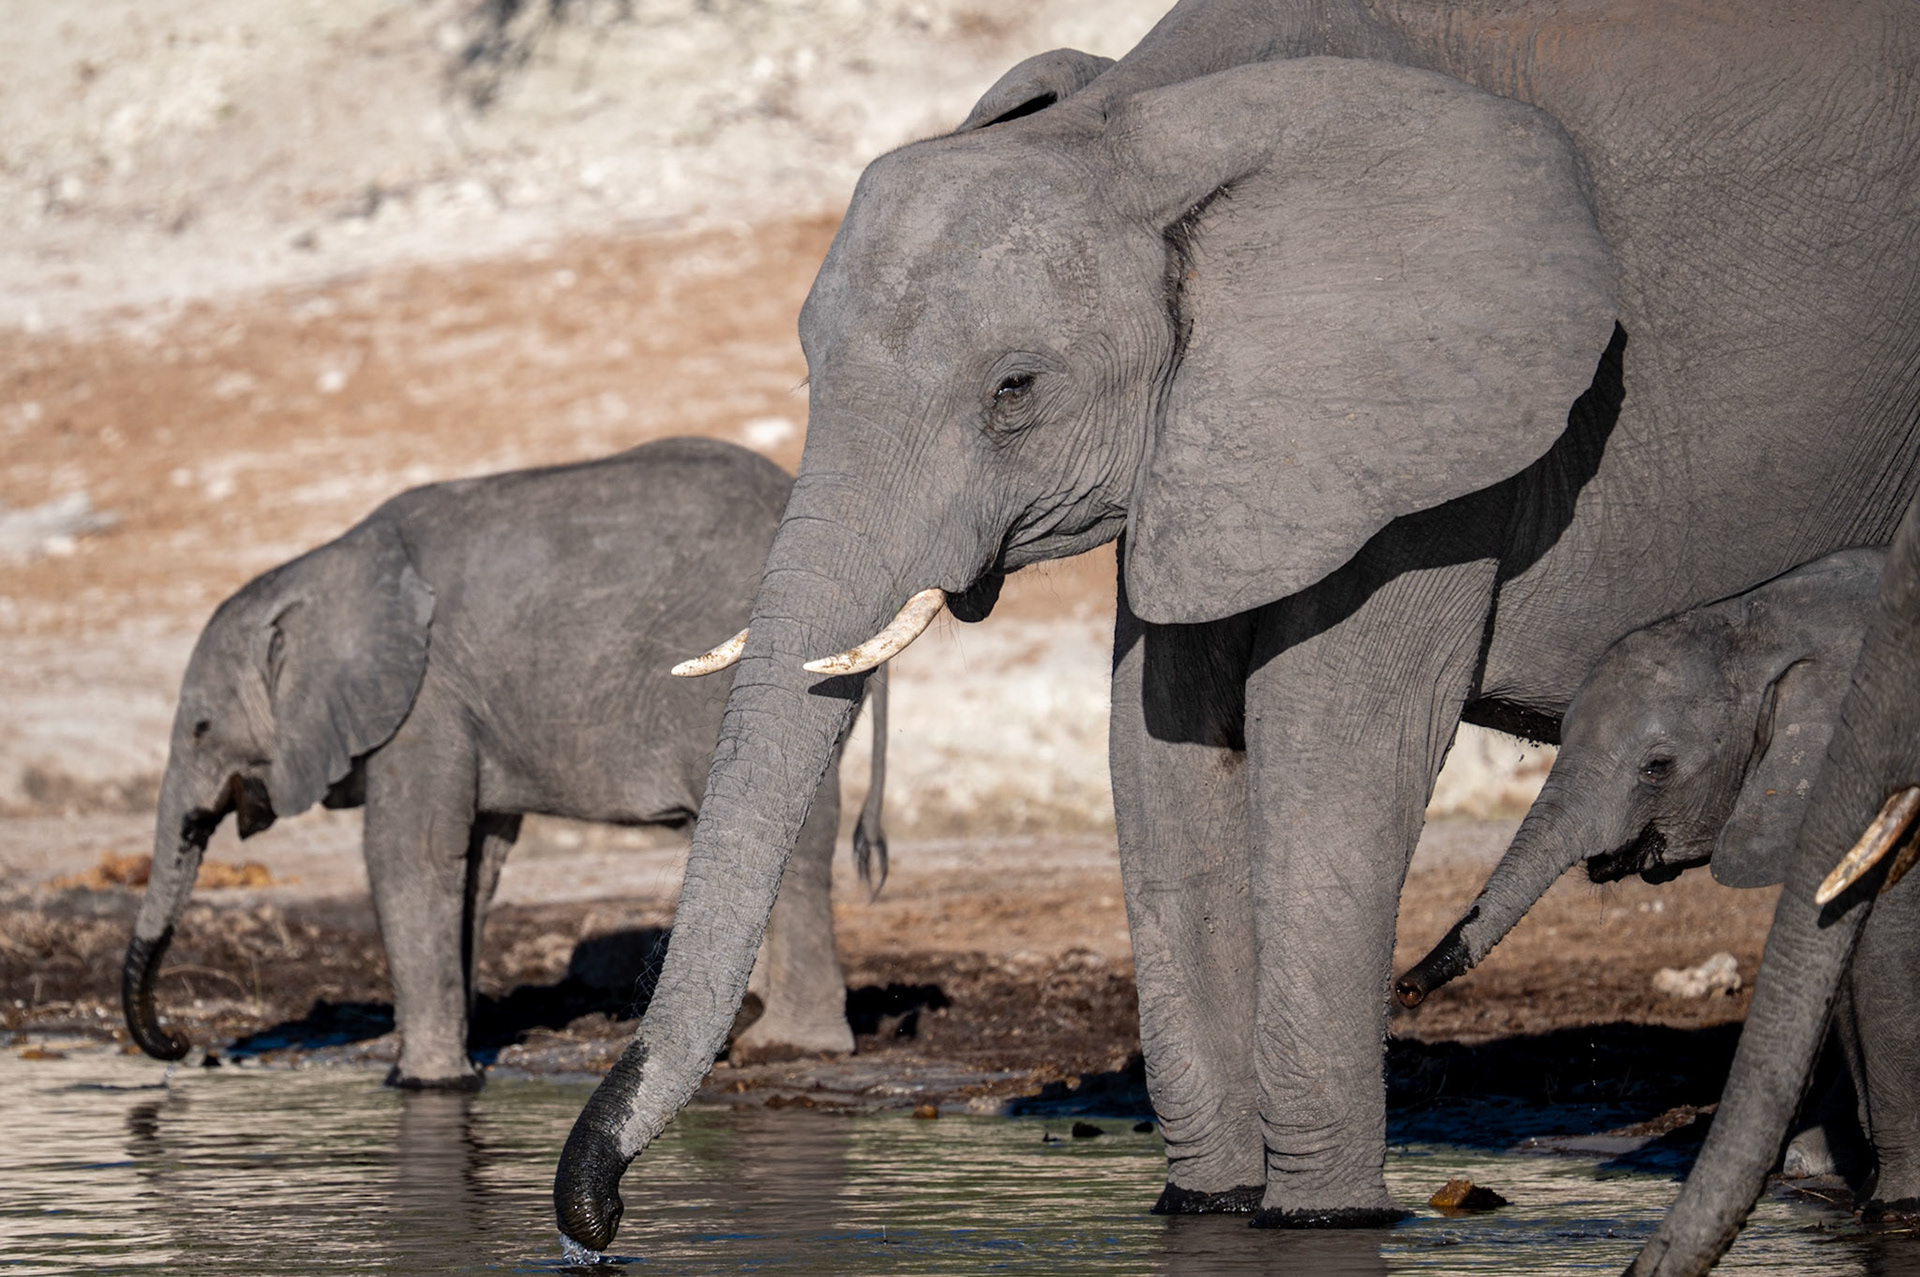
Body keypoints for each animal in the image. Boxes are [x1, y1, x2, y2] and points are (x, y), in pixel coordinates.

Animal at [122, 437, 887, 1089]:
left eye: (200, 729)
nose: (181, 1042)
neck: (326, 569)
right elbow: (474, 865)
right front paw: (454, 1066)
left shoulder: (426, 699)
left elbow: (411, 854)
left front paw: (422, 1082)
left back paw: (786, 1044)